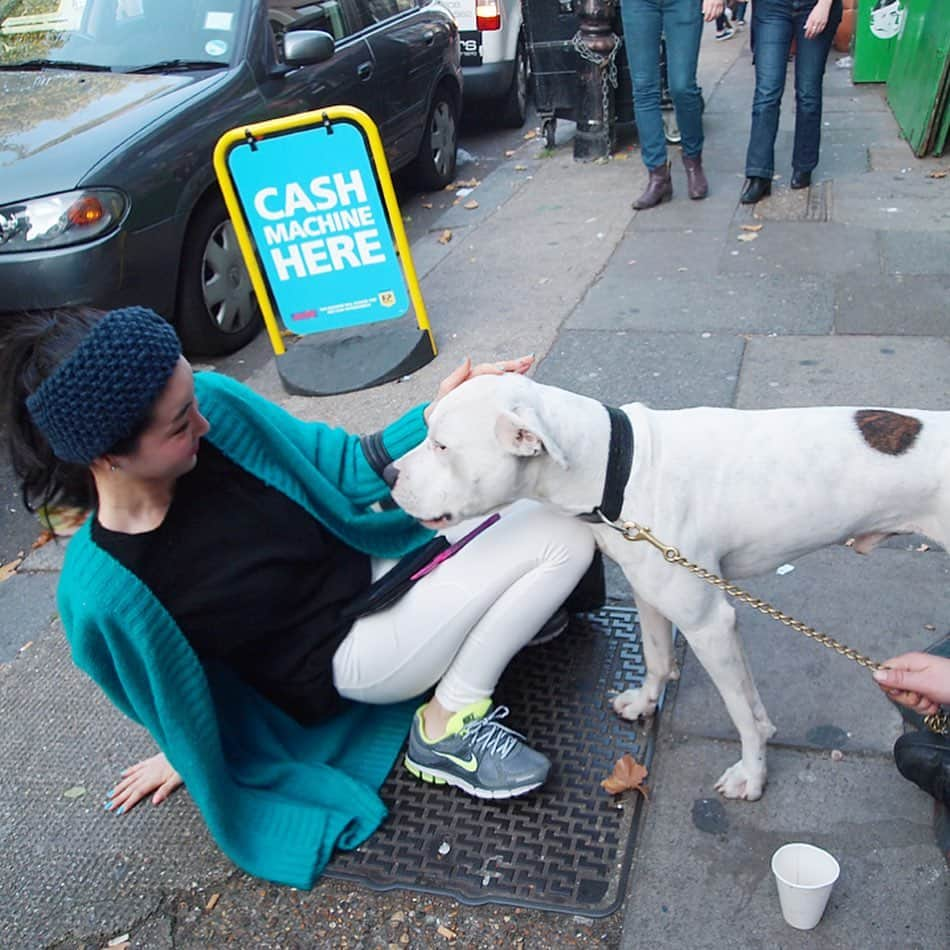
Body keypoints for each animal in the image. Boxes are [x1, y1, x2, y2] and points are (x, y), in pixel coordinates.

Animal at [388, 374, 950, 804]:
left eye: (442, 445)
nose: (389, 473)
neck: (616, 467)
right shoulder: (653, 597)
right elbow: (663, 659)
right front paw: (646, 702)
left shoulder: (708, 622)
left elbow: (740, 713)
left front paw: (753, 773)